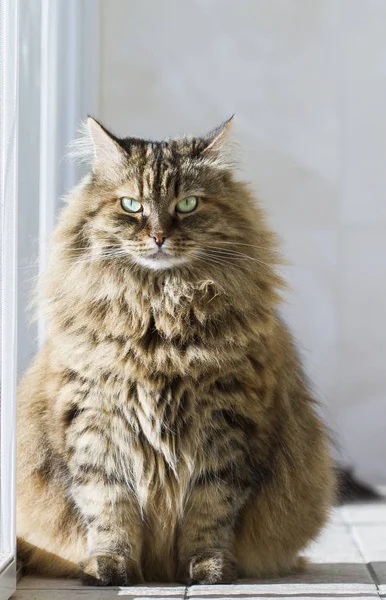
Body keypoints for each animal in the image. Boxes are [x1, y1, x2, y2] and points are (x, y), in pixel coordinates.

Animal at [16, 117, 334, 584]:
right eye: (131, 204)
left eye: (187, 204)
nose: (159, 235)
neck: (159, 319)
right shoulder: (95, 423)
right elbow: (109, 506)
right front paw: (110, 567)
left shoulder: (227, 427)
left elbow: (210, 510)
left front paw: (208, 568)